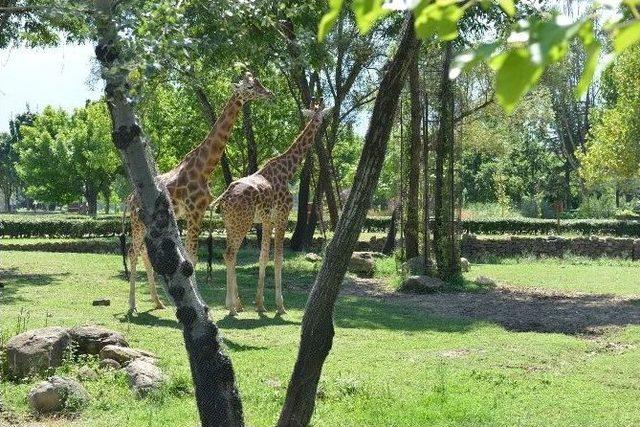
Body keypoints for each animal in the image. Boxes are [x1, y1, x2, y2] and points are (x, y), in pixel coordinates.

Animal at [124, 72, 274, 312]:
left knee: (144, 254)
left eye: (259, 82)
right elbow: (191, 258)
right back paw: (132, 306)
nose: (269, 94)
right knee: (132, 252)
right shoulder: (194, 212)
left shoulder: (199, 213)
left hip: (147, 223)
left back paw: (157, 302)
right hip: (137, 223)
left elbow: (190, 257)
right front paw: (198, 304)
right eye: (250, 87)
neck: (205, 169)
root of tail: (129, 198)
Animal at [215, 98, 336, 316]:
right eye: (321, 116)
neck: (288, 170)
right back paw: (232, 307)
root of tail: (224, 199)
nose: (322, 125)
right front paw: (280, 306)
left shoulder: (266, 220)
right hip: (242, 222)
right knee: (229, 254)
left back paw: (238, 304)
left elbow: (263, 257)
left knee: (229, 254)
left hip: (230, 223)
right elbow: (278, 258)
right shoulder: (282, 215)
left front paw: (260, 305)